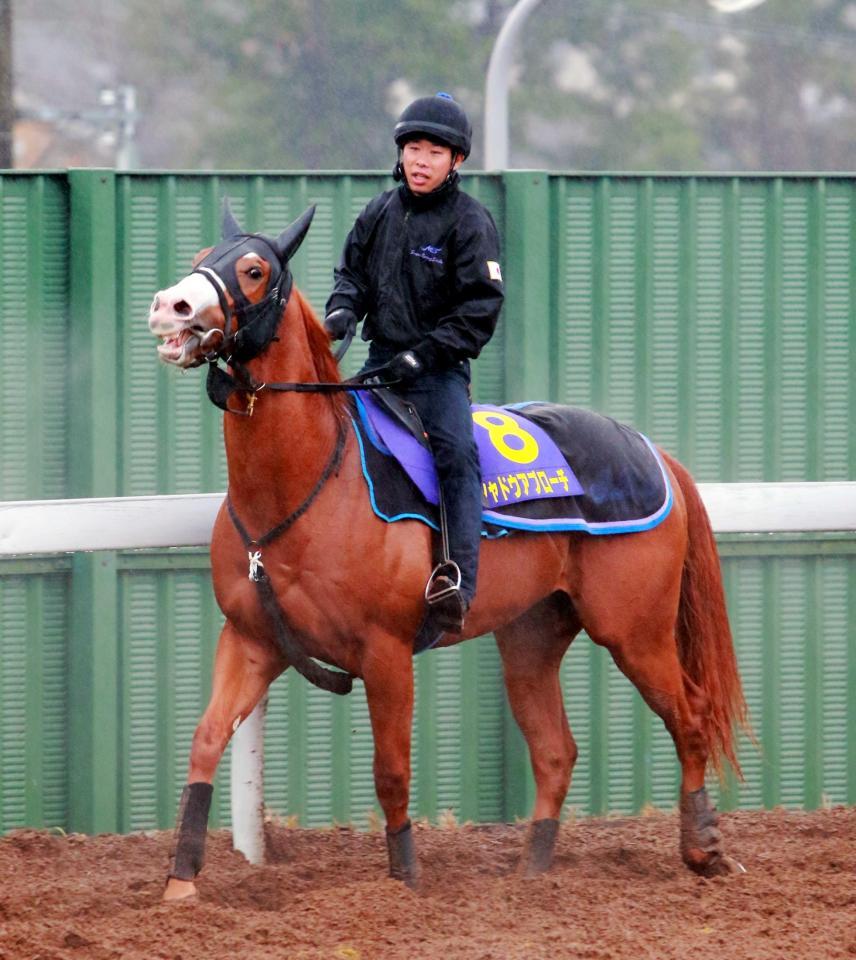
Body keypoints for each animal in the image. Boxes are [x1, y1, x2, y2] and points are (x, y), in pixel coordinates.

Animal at [149, 202, 748, 900]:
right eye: (199, 258)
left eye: (253, 269)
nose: (170, 307)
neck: (310, 482)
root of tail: (652, 450)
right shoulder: (251, 639)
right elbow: (205, 740)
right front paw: (181, 880)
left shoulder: (385, 653)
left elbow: (391, 771)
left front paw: (404, 880)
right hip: (531, 637)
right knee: (556, 751)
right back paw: (532, 873)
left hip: (636, 631)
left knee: (691, 714)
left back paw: (703, 848)